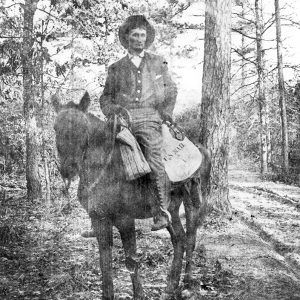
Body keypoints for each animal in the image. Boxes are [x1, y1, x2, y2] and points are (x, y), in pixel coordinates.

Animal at [51, 92, 211, 300]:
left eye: (82, 127)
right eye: (56, 127)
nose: (68, 169)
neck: (107, 165)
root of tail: (201, 149)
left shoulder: (125, 219)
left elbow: (130, 260)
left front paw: (139, 294)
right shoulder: (99, 219)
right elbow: (105, 262)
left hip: (193, 203)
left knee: (191, 239)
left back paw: (187, 285)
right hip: (172, 209)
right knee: (180, 240)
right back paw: (171, 286)